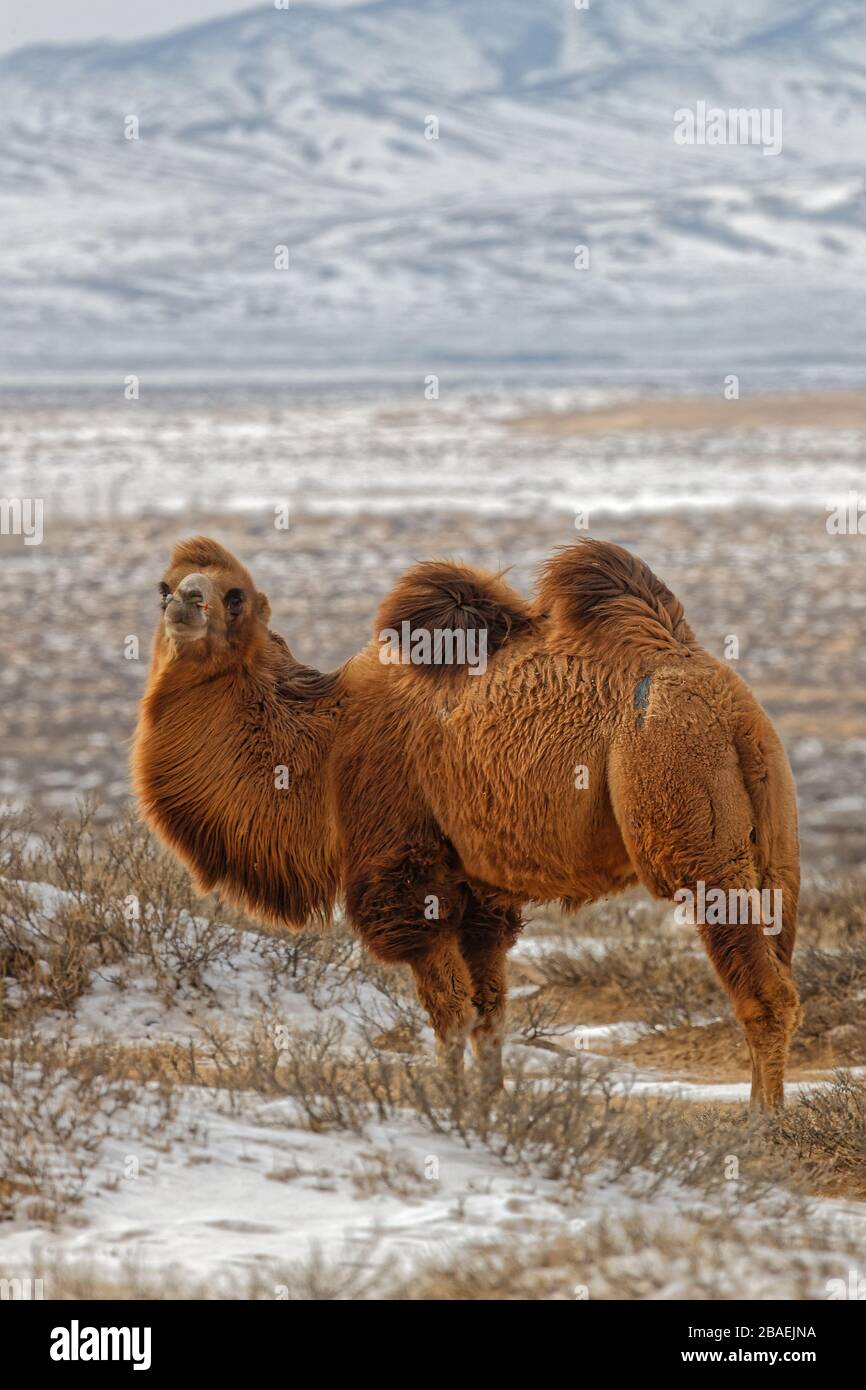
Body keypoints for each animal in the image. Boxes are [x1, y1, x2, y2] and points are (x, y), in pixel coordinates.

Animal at [132, 533, 800, 1106]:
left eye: (235, 596)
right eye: (164, 586)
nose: (186, 602)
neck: (324, 743)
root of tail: (732, 706)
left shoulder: (406, 872)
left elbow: (449, 1011)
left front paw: (450, 1104)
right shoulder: (481, 888)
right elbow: (489, 1008)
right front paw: (490, 1100)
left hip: (685, 808)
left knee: (765, 991)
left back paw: (761, 1123)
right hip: (774, 841)